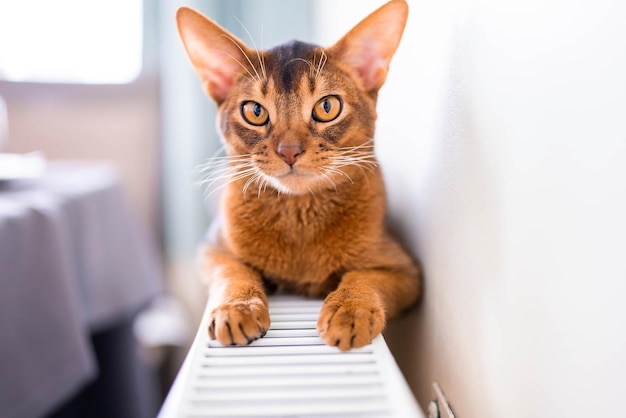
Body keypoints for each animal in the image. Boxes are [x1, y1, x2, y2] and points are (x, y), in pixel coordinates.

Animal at [176, 0, 420, 352]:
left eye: (327, 107)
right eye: (254, 112)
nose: (289, 151)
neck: (299, 217)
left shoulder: (405, 271)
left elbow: (365, 275)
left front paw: (350, 311)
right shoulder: (211, 250)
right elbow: (232, 271)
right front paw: (236, 307)